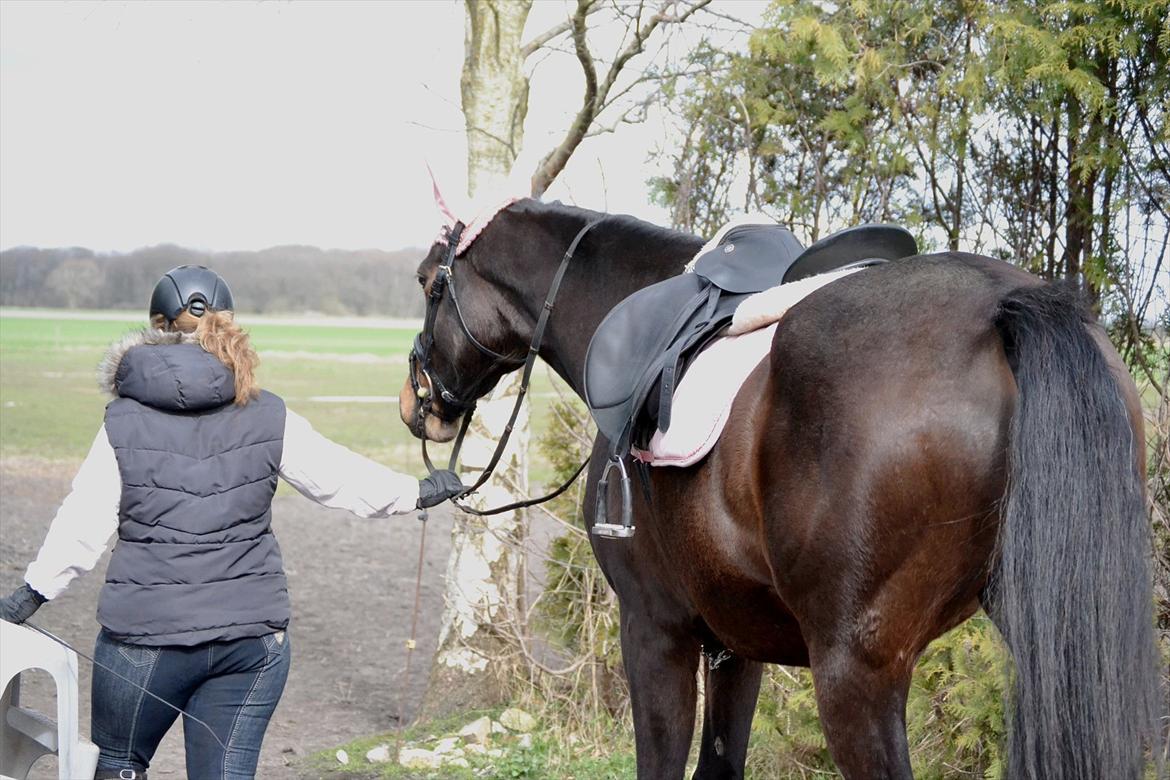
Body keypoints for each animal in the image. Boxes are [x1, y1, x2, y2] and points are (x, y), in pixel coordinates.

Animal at [395, 198, 1160, 776]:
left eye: (431, 284)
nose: (415, 403)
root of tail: (1009, 306)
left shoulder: (654, 629)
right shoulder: (736, 643)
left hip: (853, 674)